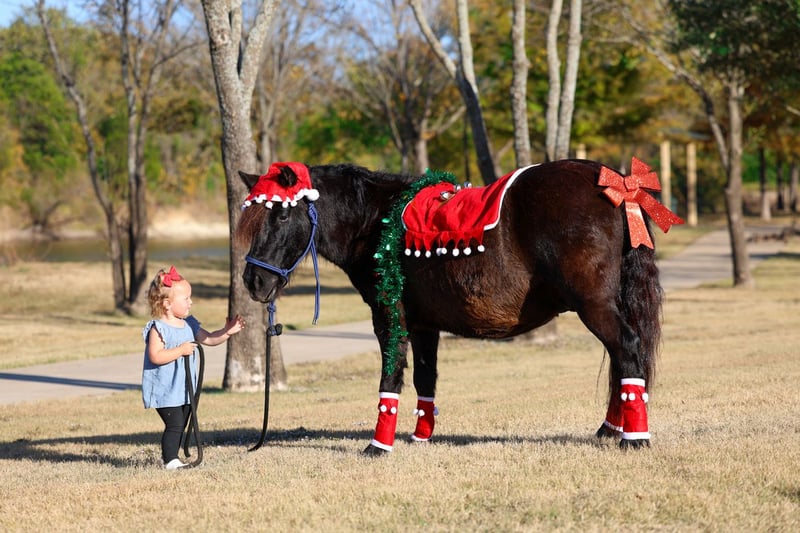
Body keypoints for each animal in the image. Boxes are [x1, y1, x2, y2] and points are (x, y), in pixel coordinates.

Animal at [235, 159, 682, 455]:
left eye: (280, 216)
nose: (254, 281)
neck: (377, 222)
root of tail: (617, 184)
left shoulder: (390, 317)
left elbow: (391, 377)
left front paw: (379, 445)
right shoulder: (424, 325)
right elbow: (425, 379)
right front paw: (421, 436)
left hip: (594, 306)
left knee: (627, 349)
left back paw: (633, 438)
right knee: (624, 357)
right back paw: (611, 429)